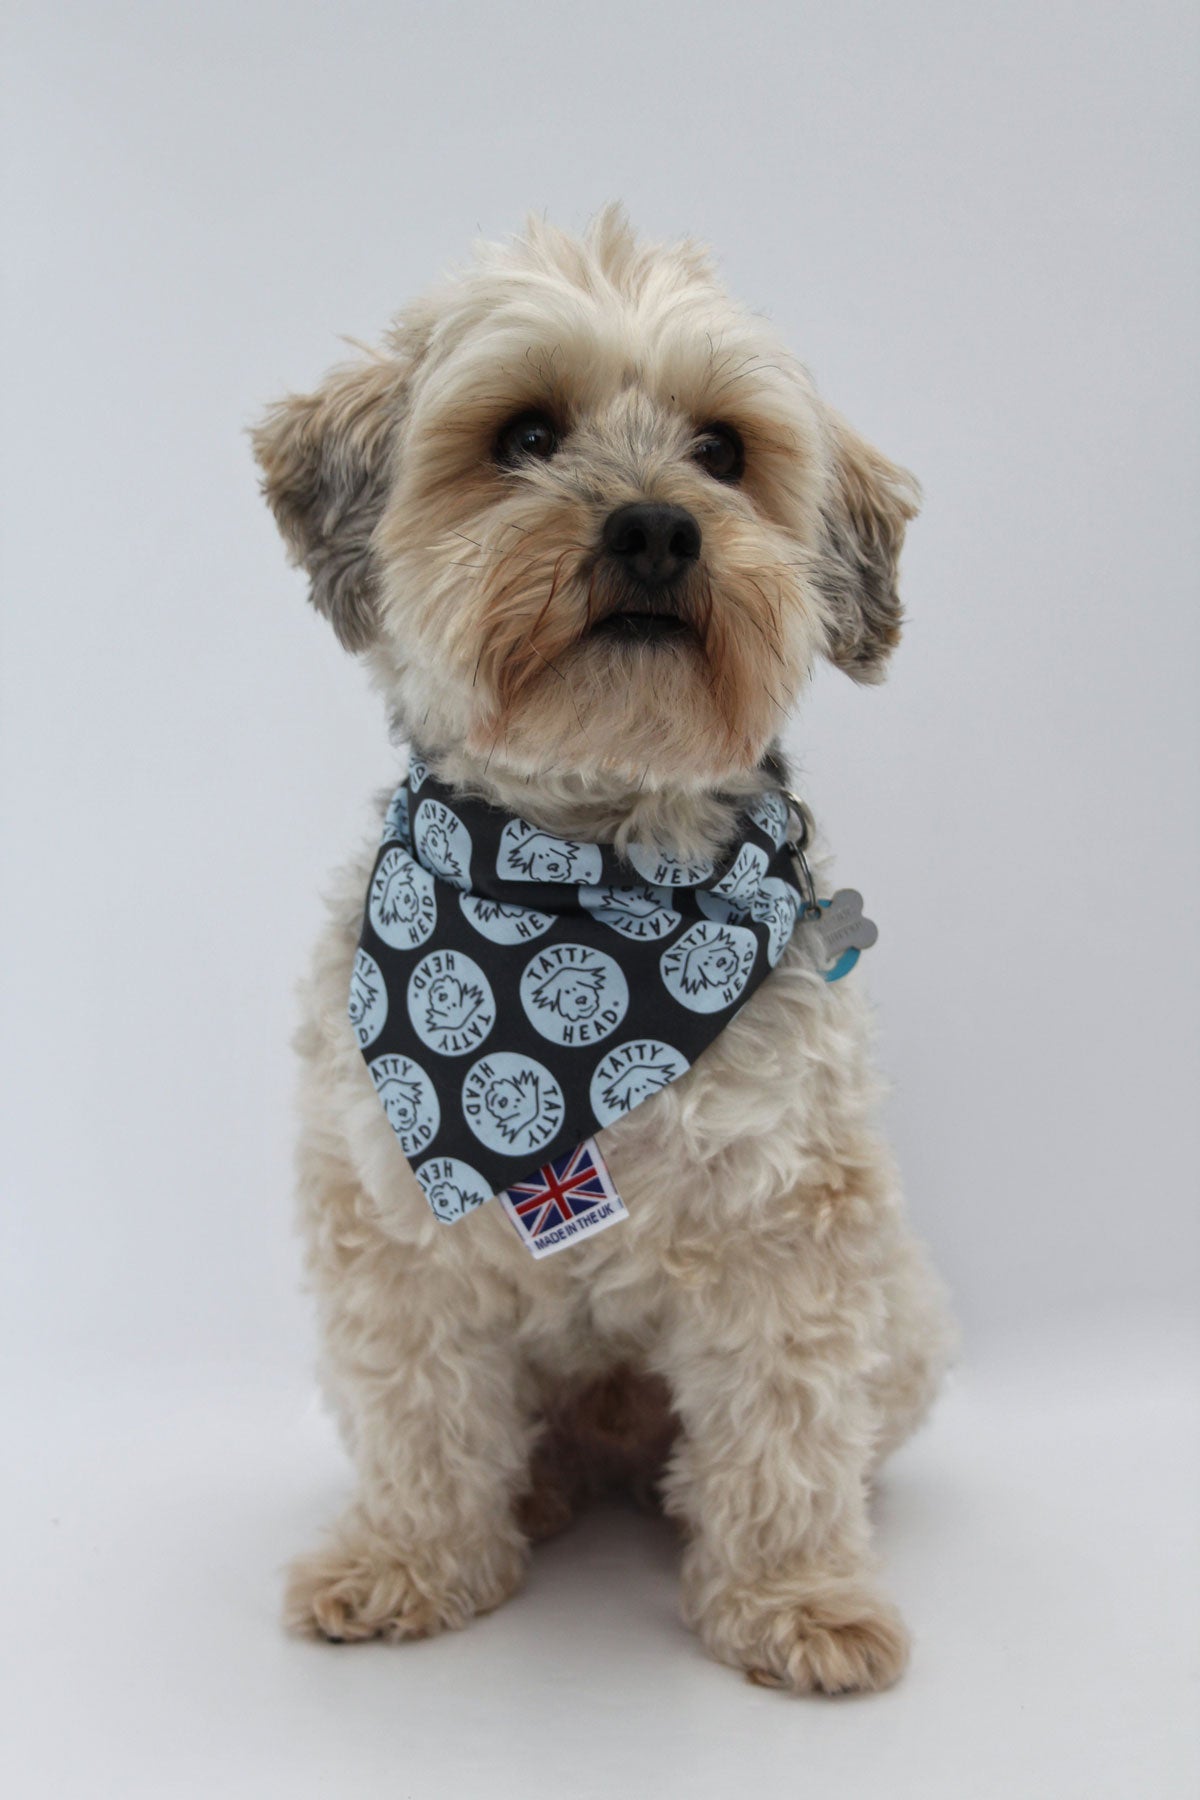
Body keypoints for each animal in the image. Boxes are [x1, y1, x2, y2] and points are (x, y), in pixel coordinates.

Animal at [255, 210, 957, 1699]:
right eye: (524, 435)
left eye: (725, 452)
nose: (654, 524)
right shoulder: (391, 1231)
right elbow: (418, 1419)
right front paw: (407, 1560)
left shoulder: (792, 1232)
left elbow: (785, 1431)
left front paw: (797, 1599)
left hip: (910, 1316)